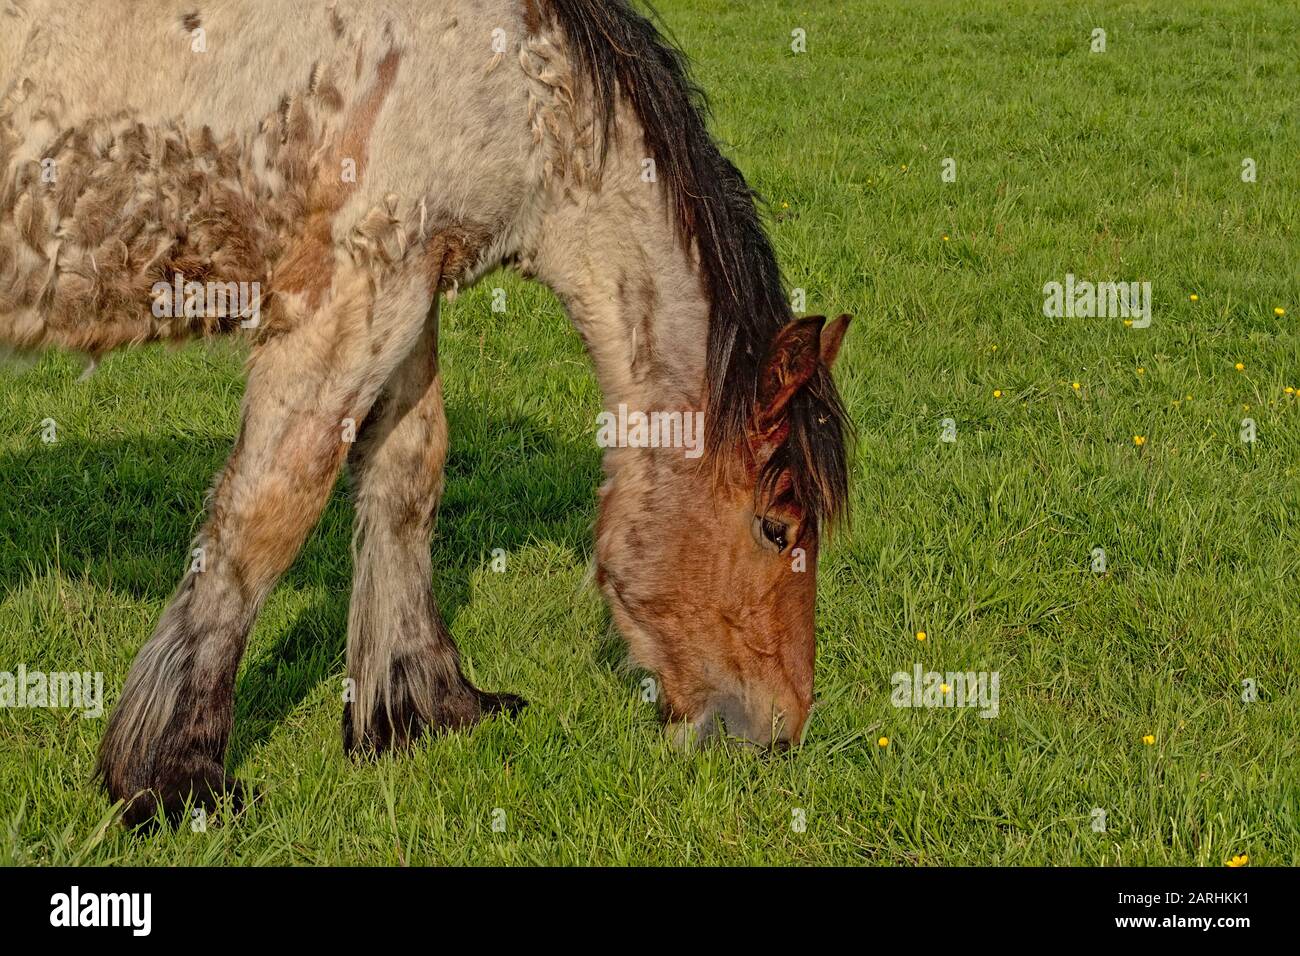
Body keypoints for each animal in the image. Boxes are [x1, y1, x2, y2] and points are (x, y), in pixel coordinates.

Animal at [2, 0, 852, 832]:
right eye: (777, 528)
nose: (780, 731)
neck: (519, 80)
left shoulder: (413, 282)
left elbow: (407, 481)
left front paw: (421, 706)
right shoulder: (355, 294)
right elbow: (267, 517)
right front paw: (173, 778)